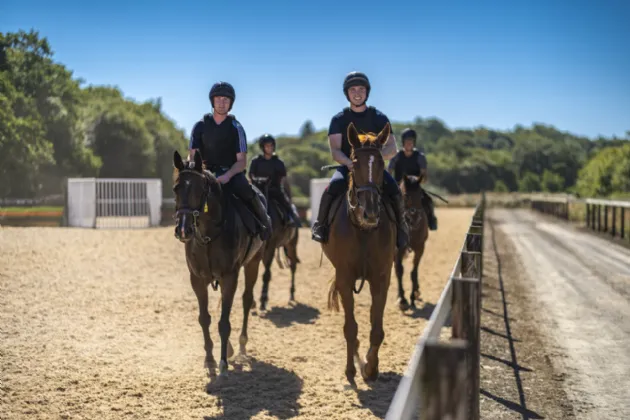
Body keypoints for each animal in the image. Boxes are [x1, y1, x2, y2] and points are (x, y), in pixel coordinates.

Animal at [249, 175, 302, 312]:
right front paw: (253, 302)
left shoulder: (271, 247)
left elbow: (266, 274)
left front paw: (263, 301)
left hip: (292, 245)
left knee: (293, 266)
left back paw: (292, 294)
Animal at [324, 122, 398, 388]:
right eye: (354, 163)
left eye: (381, 164)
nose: (370, 213)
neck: (364, 231)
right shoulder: (345, 279)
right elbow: (350, 328)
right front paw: (351, 369)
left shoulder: (381, 278)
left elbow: (377, 329)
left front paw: (371, 368)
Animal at [396, 173, 430, 308]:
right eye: (406, 195)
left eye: (421, 195)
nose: (415, 218)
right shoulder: (397, 251)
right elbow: (399, 271)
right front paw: (402, 299)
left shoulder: (420, 248)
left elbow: (413, 272)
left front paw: (412, 296)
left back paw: (416, 291)